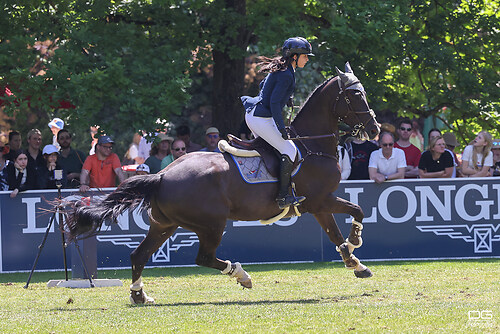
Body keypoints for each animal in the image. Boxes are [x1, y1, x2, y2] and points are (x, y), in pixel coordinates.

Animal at [65, 61, 378, 304]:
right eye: (355, 96)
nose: (374, 129)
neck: (312, 145)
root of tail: (162, 175)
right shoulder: (320, 200)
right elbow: (357, 211)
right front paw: (356, 241)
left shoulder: (319, 204)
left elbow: (335, 234)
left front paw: (355, 263)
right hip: (211, 224)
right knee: (203, 258)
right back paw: (243, 275)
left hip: (165, 224)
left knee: (138, 256)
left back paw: (139, 295)